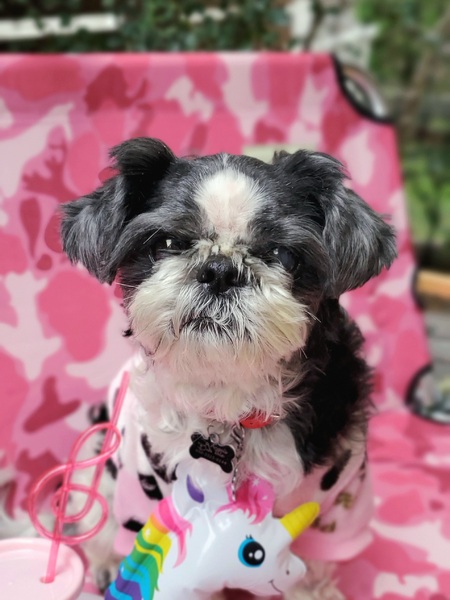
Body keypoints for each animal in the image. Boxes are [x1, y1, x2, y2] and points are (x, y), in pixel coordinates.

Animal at [61, 137, 396, 599]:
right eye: (167, 243)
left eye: (282, 254)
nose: (219, 269)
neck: (234, 404)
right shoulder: (143, 492)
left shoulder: (343, 497)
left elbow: (311, 565)